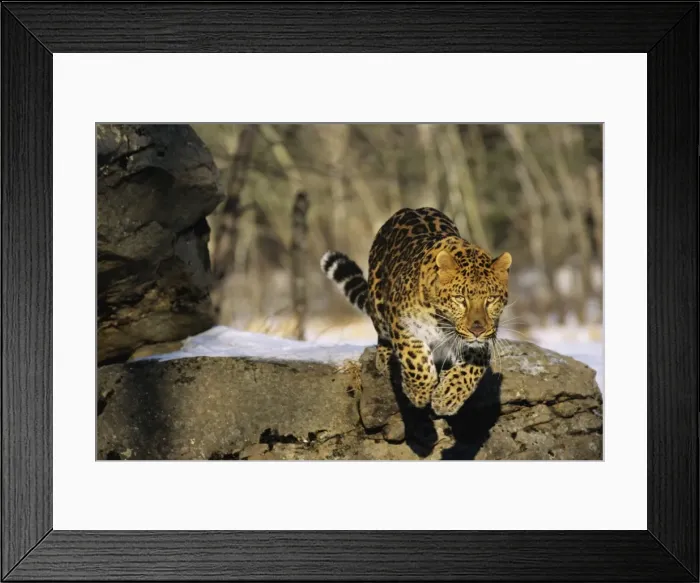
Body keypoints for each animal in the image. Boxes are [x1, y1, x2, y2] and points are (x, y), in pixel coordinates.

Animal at [321, 207, 512, 417]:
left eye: (491, 299)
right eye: (460, 298)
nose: (477, 330)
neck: (443, 323)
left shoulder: (482, 340)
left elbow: (470, 369)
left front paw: (447, 398)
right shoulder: (404, 325)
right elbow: (416, 361)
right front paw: (419, 393)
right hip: (378, 302)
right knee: (382, 334)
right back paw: (384, 360)